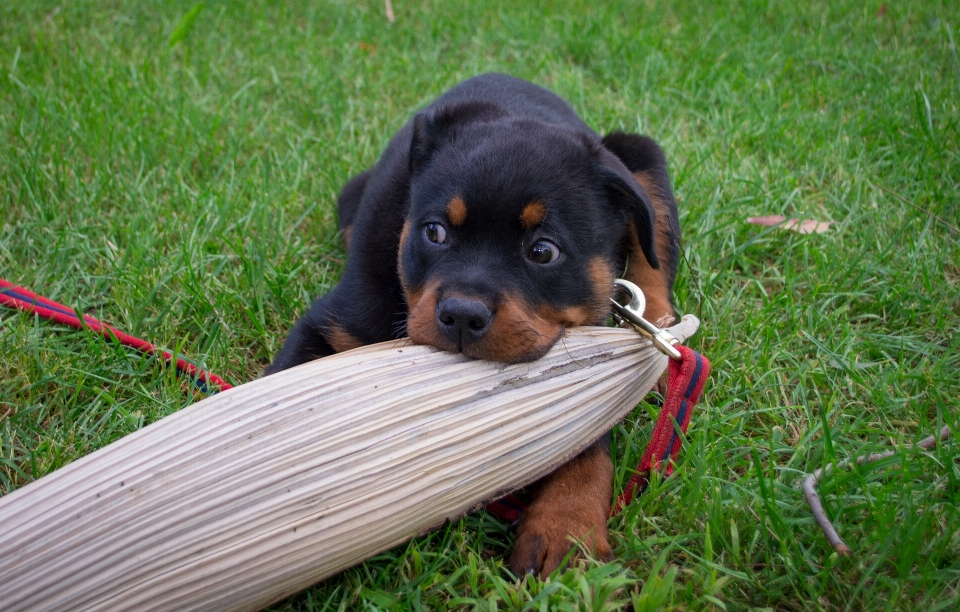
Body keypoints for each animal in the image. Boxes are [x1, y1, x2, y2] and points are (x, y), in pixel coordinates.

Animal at [266, 74, 680, 576]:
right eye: (434, 232)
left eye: (543, 251)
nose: (463, 314)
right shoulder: (335, 320)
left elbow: (588, 442)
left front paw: (566, 529)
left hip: (642, 157)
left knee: (654, 258)